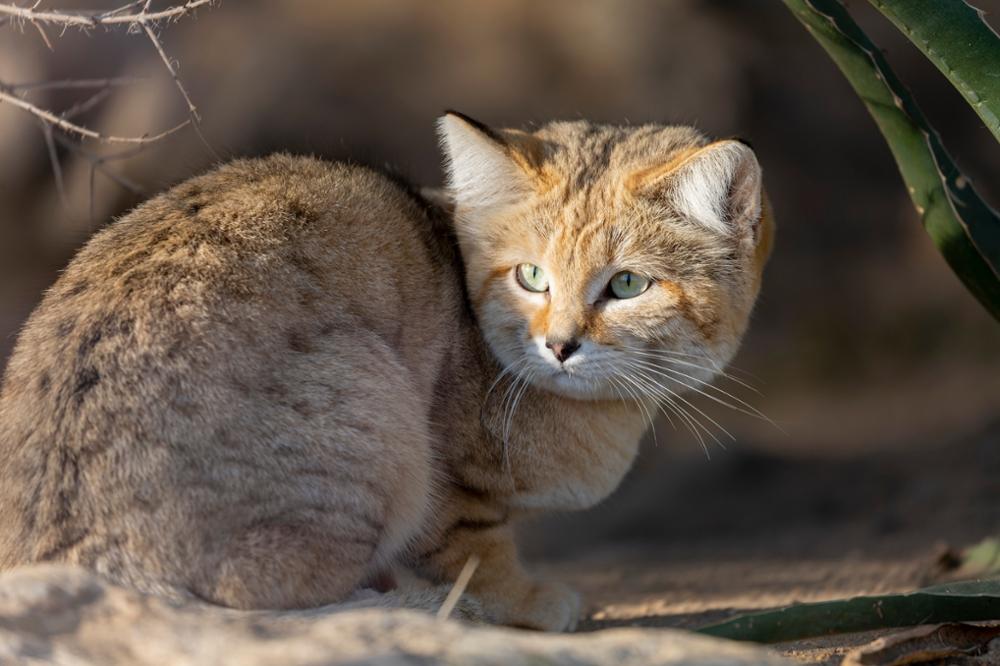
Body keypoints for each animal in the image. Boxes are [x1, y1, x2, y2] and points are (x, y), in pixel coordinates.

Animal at [0, 113, 772, 628]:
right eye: (531, 277)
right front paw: (520, 601)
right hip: (379, 411)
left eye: (627, 286)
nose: (559, 345)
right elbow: (474, 550)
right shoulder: (448, 487)